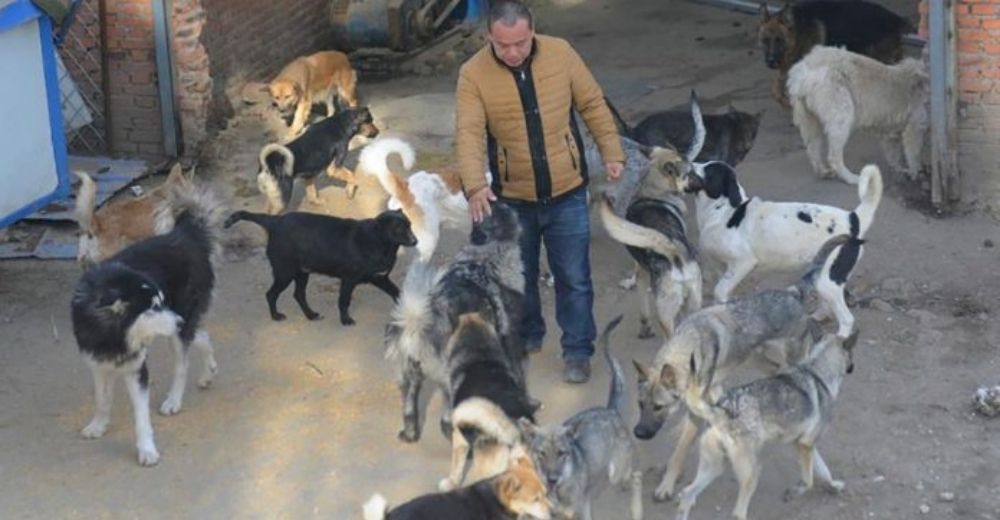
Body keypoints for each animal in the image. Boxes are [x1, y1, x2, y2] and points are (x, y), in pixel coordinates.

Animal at [71, 180, 225, 468]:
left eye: (160, 302)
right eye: (153, 307)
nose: (178, 318)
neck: (113, 335)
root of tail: (186, 234)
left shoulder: (137, 371)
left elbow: (141, 418)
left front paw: (146, 450)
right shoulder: (97, 364)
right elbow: (102, 400)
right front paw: (98, 425)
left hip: (178, 329)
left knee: (182, 364)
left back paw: (174, 400)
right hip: (180, 326)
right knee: (201, 335)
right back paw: (208, 371)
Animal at [225, 208, 416, 324]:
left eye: (410, 225)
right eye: (398, 228)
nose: (415, 241)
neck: (379, 242)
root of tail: (275, 221)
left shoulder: (381, 278)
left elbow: (398, 293)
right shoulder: (348, 280)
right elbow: (344, 301)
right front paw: (345, 320)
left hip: (302, 273)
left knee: (298, 295)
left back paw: (311, 315)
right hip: (284, 273)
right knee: (271, 294)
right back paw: (276, 316)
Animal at [680, 159, 884, 338]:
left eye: (710, 170)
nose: (689, 163)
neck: (724, 211)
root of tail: (854, 219)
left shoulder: (743, 263)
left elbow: (719, 290)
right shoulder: (723, 267)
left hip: (828, 280)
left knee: (847, 319)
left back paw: (840, 338)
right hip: (822, 276)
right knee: (827, 304)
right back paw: (818, 316)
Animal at [756, 0, 916, 106]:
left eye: (779, 40)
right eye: (765, 40)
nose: (770, 62)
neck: (798, 31)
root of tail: (896, 19)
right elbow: (775, 90)